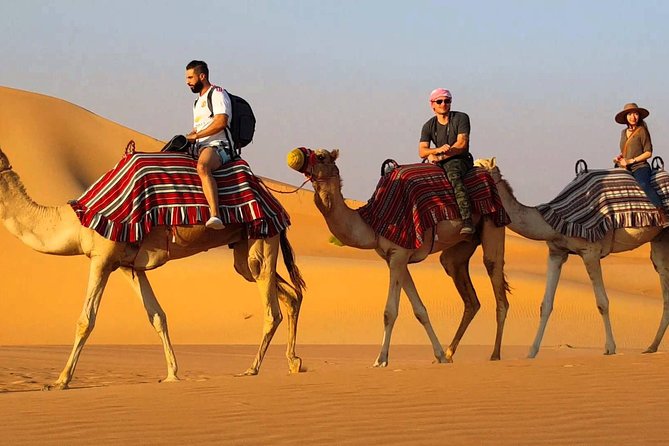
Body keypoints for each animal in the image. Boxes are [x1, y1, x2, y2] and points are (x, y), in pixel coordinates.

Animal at [0, 147, 305, 390]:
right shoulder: (128, 266)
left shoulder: (102, 257)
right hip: (246, 249)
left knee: (272, 310)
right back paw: (294, 362)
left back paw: (252, 369)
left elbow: (86, 320)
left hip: (262, 238)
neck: (78, 221)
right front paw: (171, 374)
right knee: (289, 294)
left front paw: (60, 380)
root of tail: (273, 199)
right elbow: (157, 316)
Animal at [287, 147, 510, 366]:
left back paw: (495, 354)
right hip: (462, 245)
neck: (372, 223)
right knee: (468, 293)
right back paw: (450, 353)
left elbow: (390, 311)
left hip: (493, 222)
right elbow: (420, 310)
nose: (296, 156)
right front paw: (439, 355)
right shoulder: (395, 259)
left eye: (321, 156)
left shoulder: (399, 254)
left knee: (496, 279)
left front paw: (381, 359)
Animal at [475, 157, 669, 357]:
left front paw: (610, 348)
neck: (553, 220)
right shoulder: (556, 252)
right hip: (660, 237)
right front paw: (531, 352)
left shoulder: (590, 251)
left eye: (479, 168)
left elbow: (602, 302)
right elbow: (546, 304)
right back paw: (651, 346)